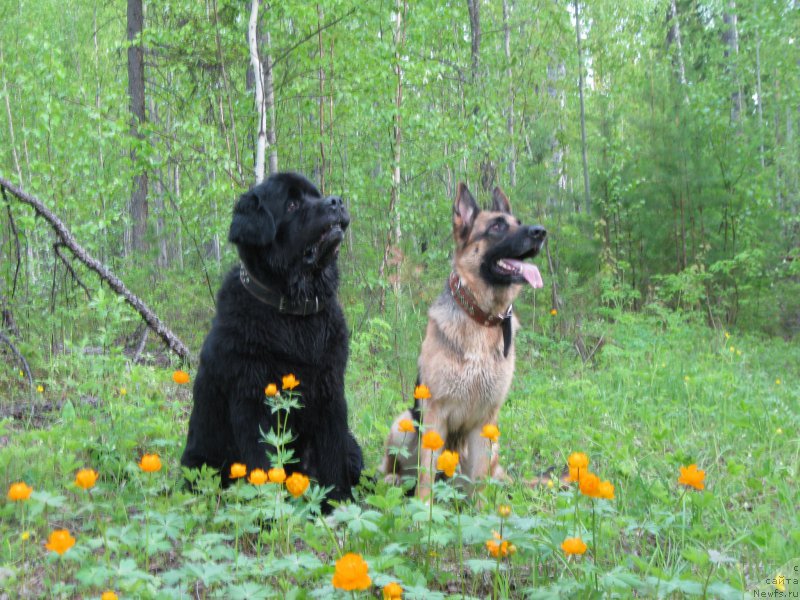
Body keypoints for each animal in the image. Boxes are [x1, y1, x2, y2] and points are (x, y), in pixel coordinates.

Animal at [181, 171, 362, 504]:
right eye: (291, 204)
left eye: (316, 195)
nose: (336, 201)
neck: (294, 314)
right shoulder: (253, 398)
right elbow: (263, 463)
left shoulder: (331, 392)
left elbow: (333, 457)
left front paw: (339, 504)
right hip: (198, 463)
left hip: (354, 447)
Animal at [380, 183, 544, 496]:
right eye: (497, 226)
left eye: (518, 222)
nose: (541, 231)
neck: (481, 318)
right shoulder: (434, 416)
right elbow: (425, 481)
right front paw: (422, 510)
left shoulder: (485, 422)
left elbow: (479, 486)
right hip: (403, 423)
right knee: (396, 469)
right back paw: (391, 480)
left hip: (493, 446)